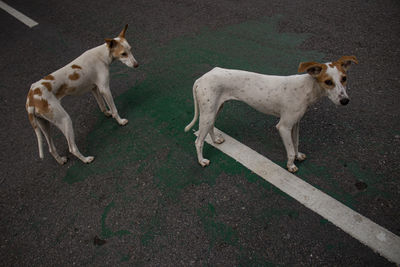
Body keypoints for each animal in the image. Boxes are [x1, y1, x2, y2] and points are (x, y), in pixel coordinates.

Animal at [25, 24, 138, 165]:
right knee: (72, 148)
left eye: (130, 49)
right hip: (65, 120)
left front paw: (108, 114)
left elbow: (102, 106)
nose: (136, 65)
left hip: (45, 125)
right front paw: (120, 121)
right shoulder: (104, 88)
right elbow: (114, 109)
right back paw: (86, 159)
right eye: (123, 54)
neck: (102, 54)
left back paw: (61, 160)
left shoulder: (94, 89)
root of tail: (31, 97)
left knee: (51, 149)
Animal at [186, 56, 358, 174]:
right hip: (208, 113)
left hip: (214, 109)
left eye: (344, 78)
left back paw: (215, 140)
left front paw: (298, 156)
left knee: (210, 128)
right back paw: (202, 161)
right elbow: (289, 150)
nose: (345, 101)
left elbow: (295, 144)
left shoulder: (295, 124)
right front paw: (291, 166)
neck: (307, 88)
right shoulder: (284, 126)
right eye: (328, 82)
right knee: (198, 141)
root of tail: (200, 78)